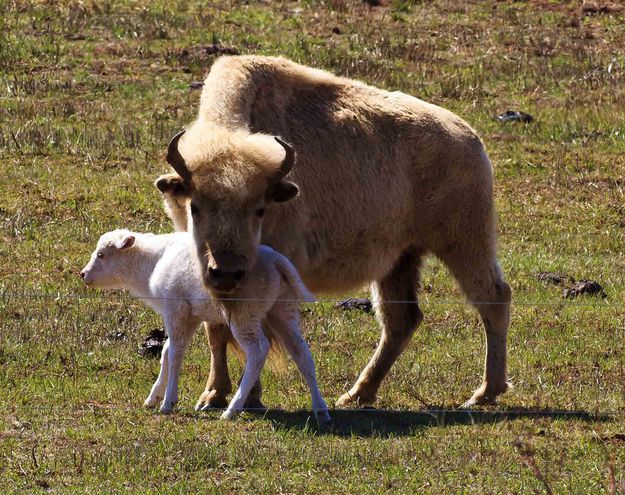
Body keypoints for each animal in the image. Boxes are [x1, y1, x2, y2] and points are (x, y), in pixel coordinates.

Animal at [80, 229, 330, 422]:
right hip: (282, 310)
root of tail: (276, 260)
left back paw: (231, 410)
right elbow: (168, 351)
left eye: (101, 255)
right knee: (302, 354)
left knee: (258, 350)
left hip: (245, 313)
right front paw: (153, 397)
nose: (83, 274)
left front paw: (168, 402)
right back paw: (321, 410)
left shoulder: (175, 309)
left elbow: (176, 354)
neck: (153, 262)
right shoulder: (191, 317)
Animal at [156, 55, 512, 410]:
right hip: (400, 260)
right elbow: (216, 329)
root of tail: (471, 139)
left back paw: (483, 393)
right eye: (195, 206)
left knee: (493, 298)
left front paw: (247, 397)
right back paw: (357, 394)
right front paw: (213, 395)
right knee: (400, 320)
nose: (226, 271)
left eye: (259, 209)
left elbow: (253, 331)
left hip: (463, 243)